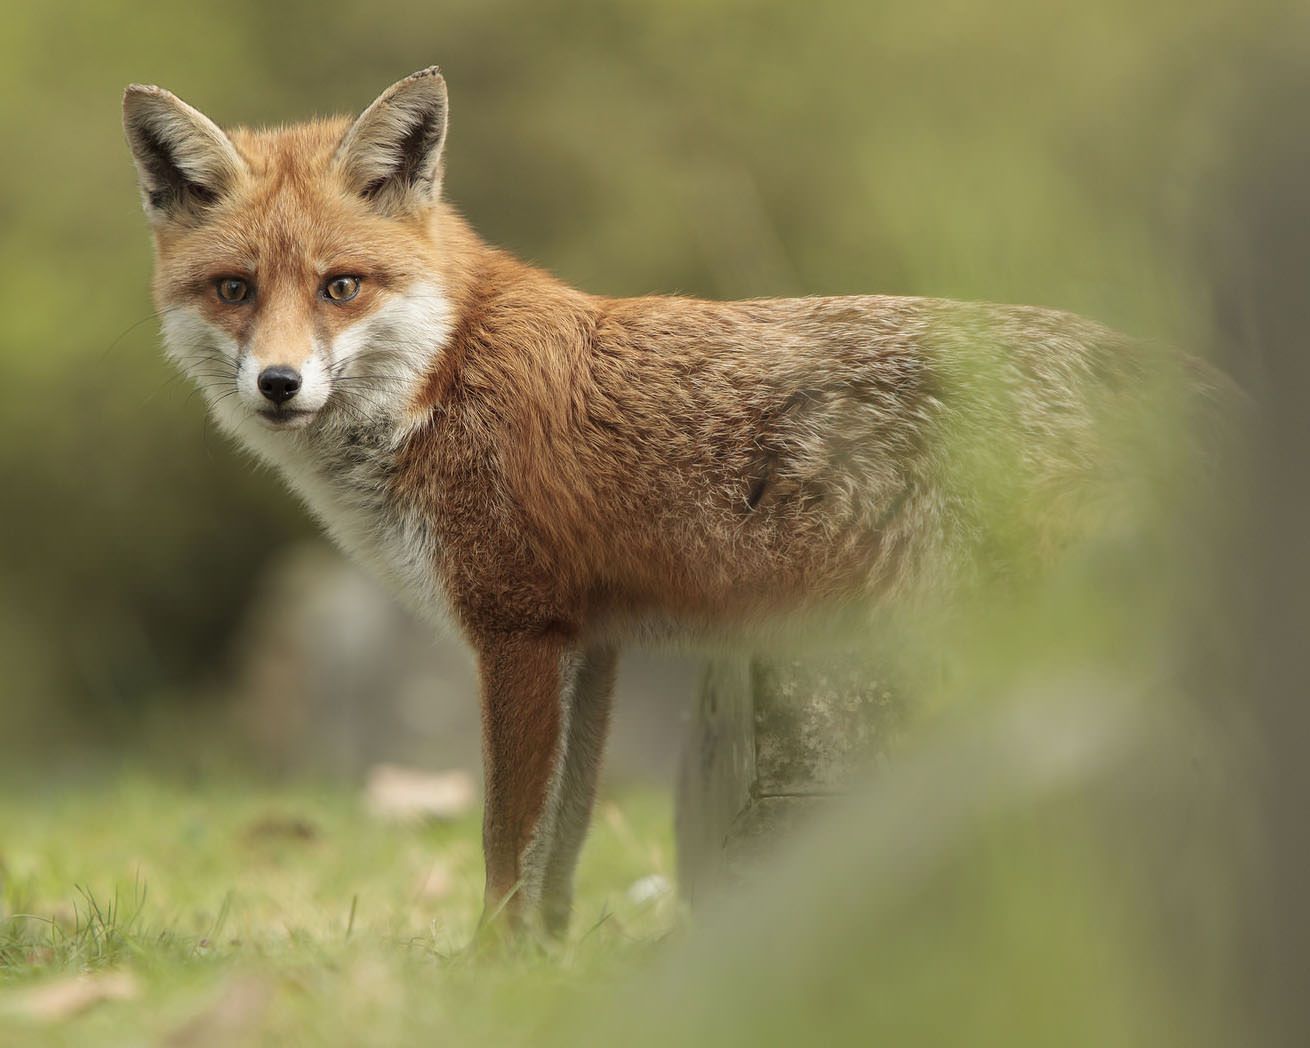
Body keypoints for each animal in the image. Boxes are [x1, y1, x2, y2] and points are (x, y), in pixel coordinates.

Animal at [123, 67, 1199, 936]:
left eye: (340, 286)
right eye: (234, 289)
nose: (279, 384)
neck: (444, 375)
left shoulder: (517, 628)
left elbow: (504, 837)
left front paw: (489, 965)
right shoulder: (592, 642)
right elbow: (560, 846)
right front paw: (543, 969)